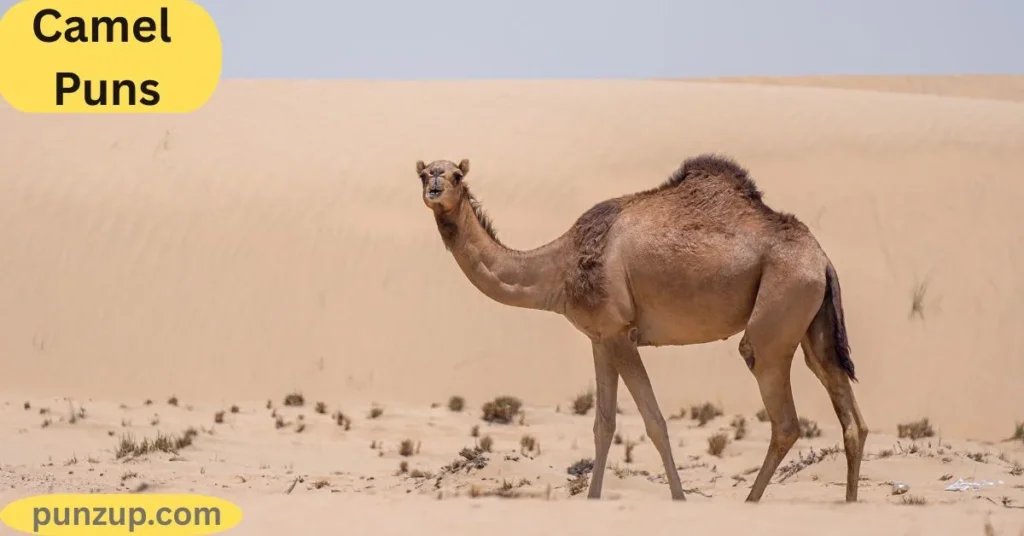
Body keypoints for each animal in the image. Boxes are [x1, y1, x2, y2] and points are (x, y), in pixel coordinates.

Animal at [415, 154, 867, 503]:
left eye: (456, 175)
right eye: (424, 173)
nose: (435, 185)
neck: (557, 268)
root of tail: (822, 259)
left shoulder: (619, 333)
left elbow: (654, 422)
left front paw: (679, 498)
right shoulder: (598, 338)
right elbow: (603, 425)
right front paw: (594, 499)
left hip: (779, 308)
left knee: (782, 414)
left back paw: (750, 502)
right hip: (813, 321)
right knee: (846, 407)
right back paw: (848, 503)